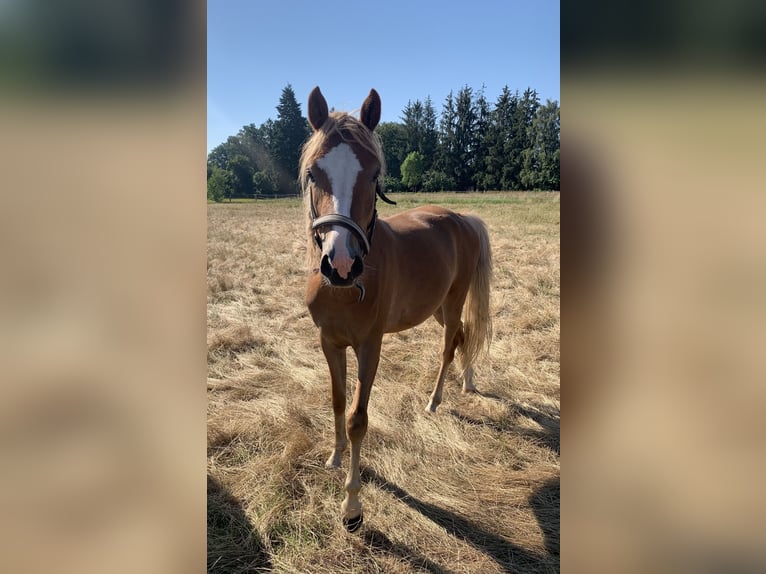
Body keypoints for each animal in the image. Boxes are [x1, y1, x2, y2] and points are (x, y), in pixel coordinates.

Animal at [300, 88, 492, 532]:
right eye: (314, 173)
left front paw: (352, 506)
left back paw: (435, 401)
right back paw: (467, 381)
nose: (341, 264)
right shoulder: (329, 342)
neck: (343, 291)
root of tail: (462, 219)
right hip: (436, 305)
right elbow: (337, 401)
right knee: (464, 335)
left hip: (453, 300)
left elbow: (357, 418)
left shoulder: (370, 346)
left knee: (450, 344)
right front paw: (334, 458)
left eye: (374, 174)